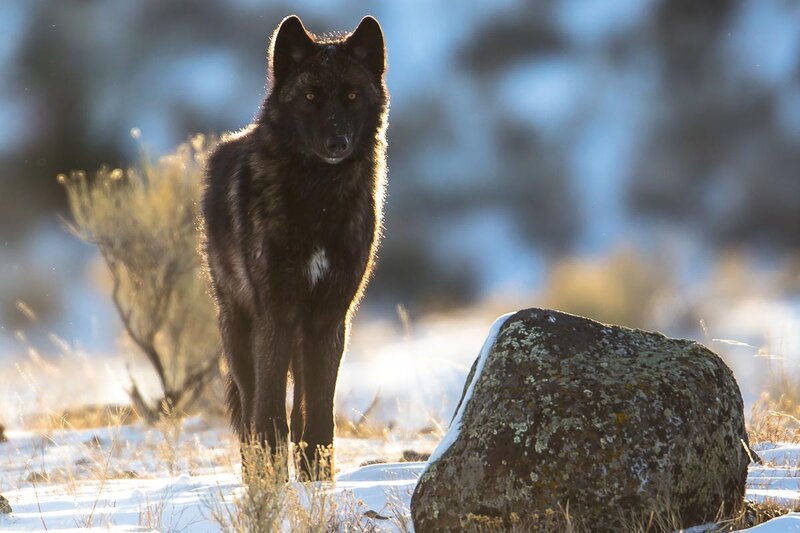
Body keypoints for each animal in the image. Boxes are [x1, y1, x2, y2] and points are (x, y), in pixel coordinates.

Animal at [201, 15, 388, 480]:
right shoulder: (278, 313)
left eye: (352, 96)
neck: (318, 197)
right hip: (238, 329)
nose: (338, 143)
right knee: (250, 405)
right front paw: (271, 480)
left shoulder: (328, 318)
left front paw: (317, 481)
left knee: (301, 402)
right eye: (310, 97)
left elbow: (318, 410)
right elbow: (267, 412)